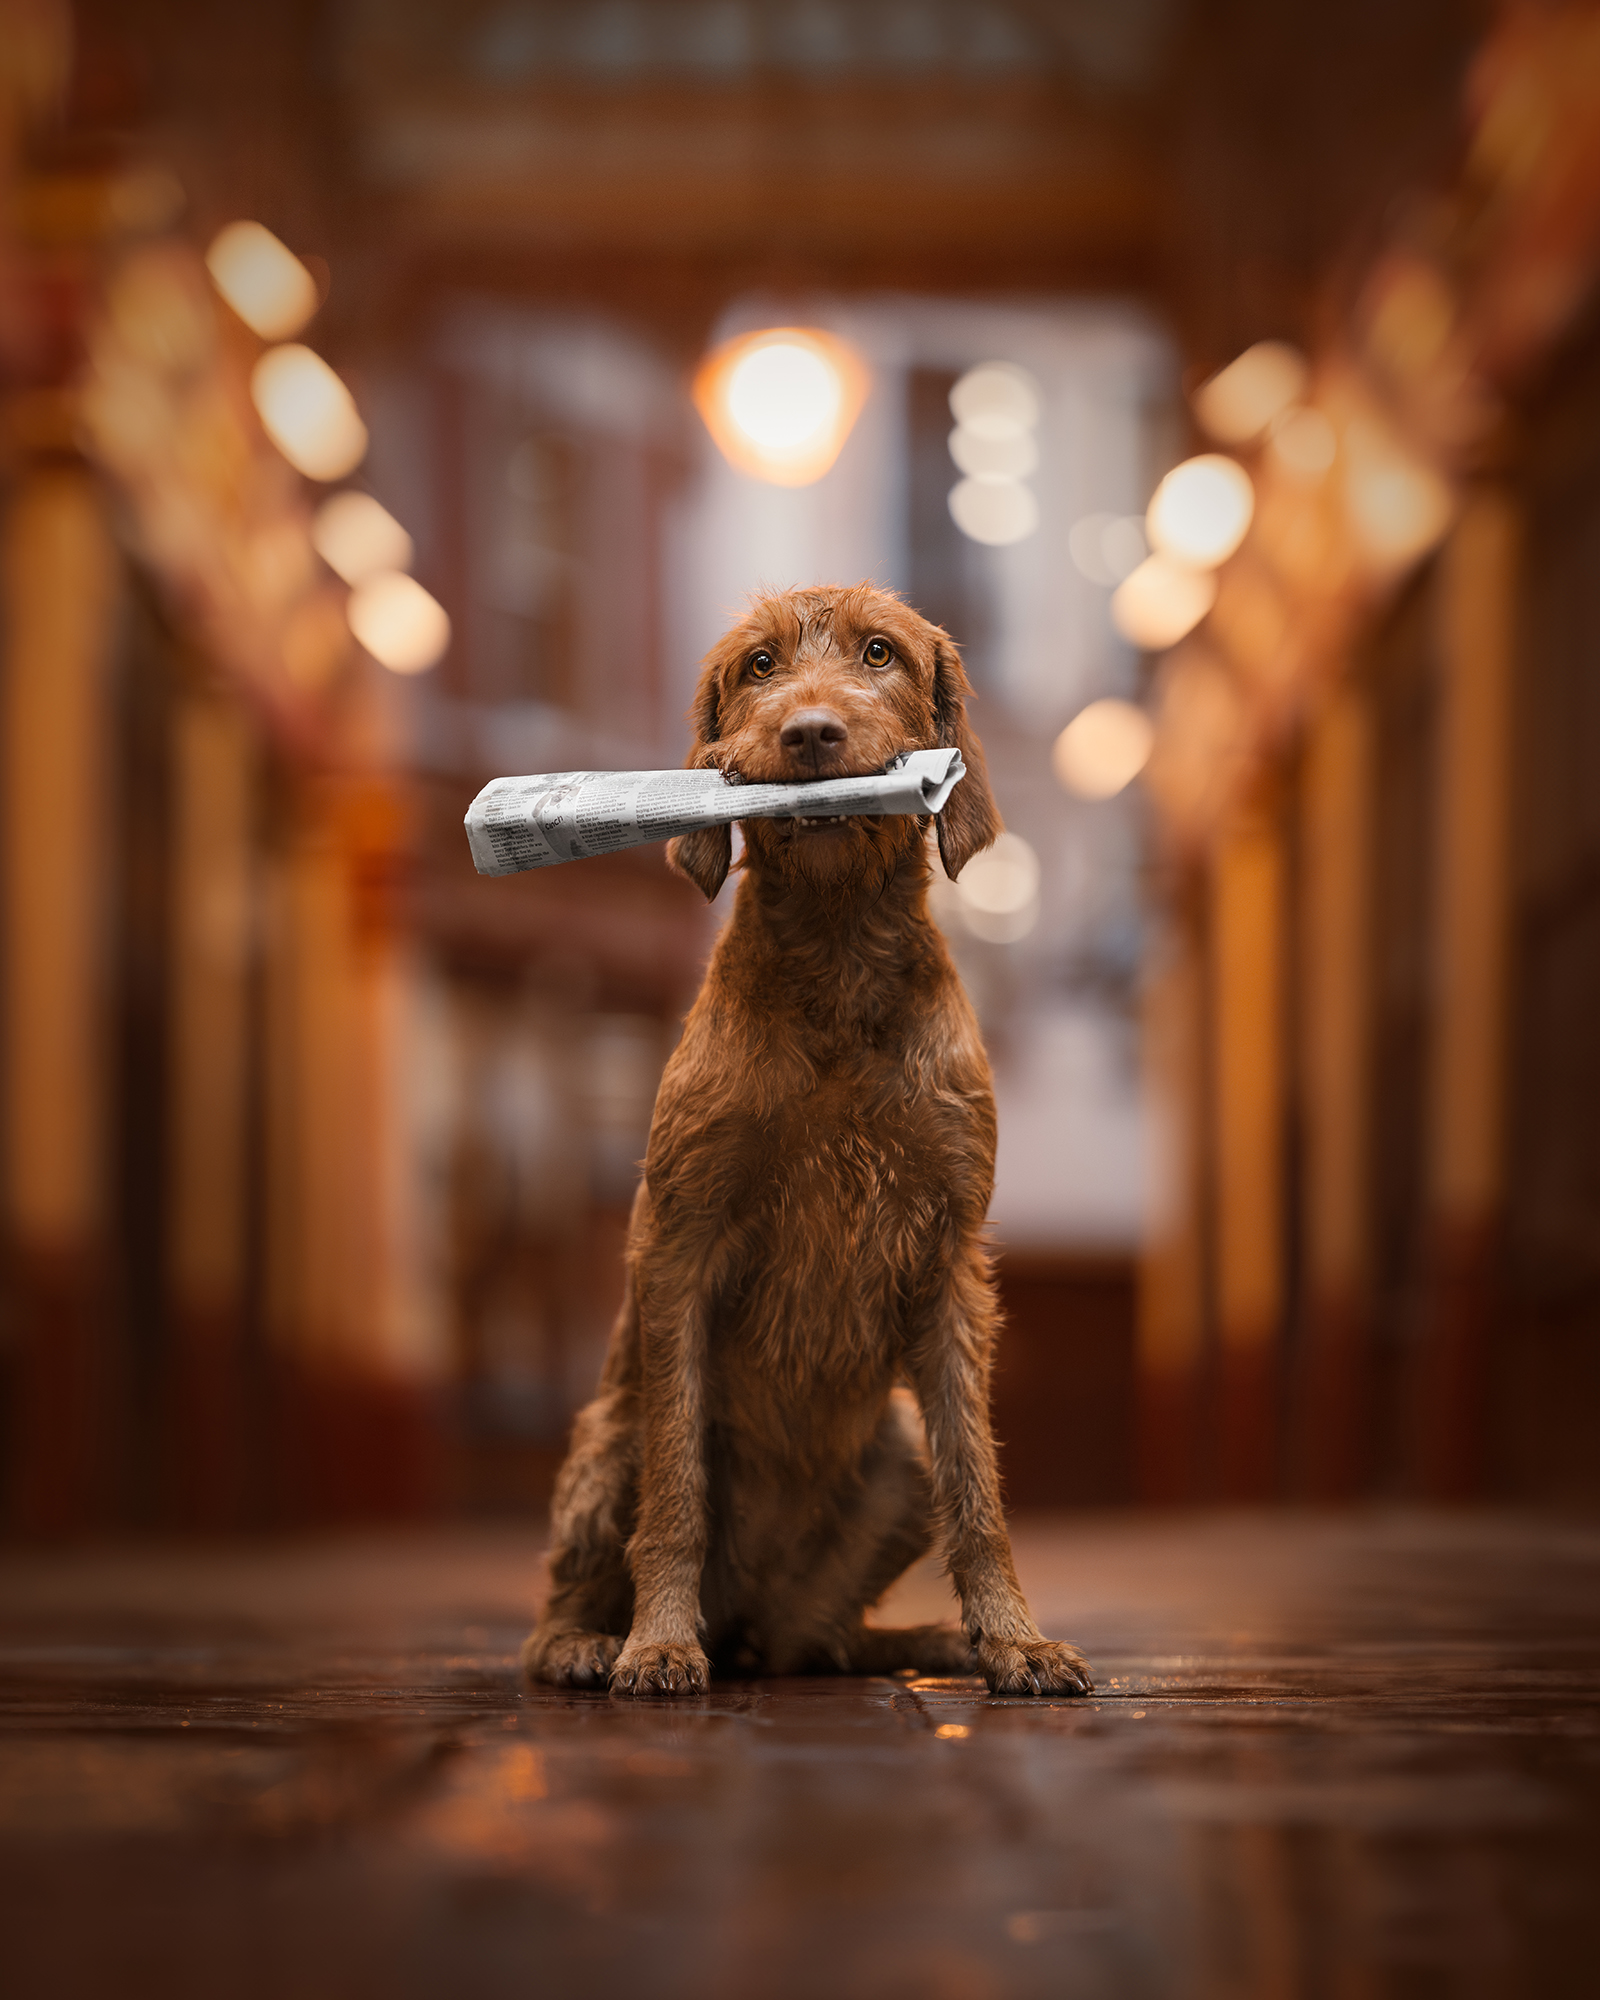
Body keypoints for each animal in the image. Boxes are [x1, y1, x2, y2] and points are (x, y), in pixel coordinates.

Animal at [520, 584, 1096, 1696]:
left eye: (879, 653)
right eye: (757, 666)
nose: (811, 731)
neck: (836, 959)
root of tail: (752, 1617)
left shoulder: (950, 1254)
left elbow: (978, 1485)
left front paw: (1013, 1637)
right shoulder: (683, 1246)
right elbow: (678, 1489)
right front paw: (658, 1640)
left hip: (892, 1456)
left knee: (821, 1636)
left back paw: (914, 1644)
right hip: (606, 1439)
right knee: (568, 1598)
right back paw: (587, 1641)